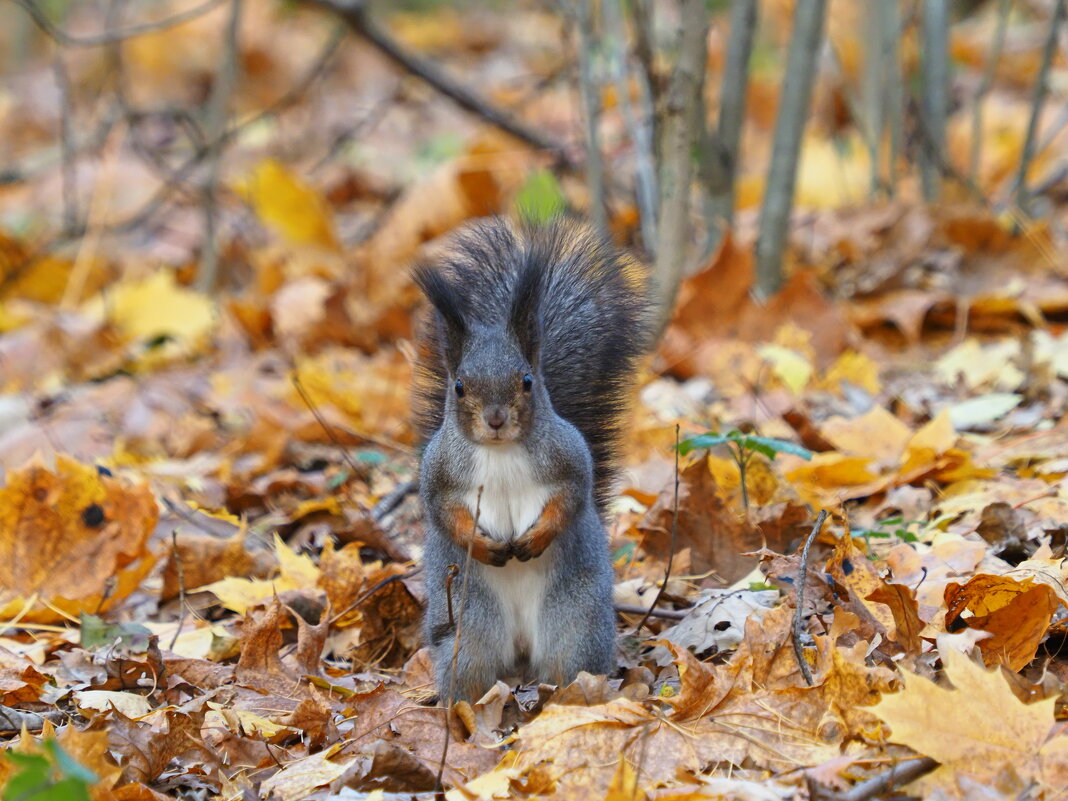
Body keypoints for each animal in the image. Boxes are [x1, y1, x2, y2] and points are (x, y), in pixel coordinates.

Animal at [410, 217, 649, 700]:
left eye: (526, 381)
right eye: (459, 386)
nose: (496, 419)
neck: (500, 451)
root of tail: (520, 654)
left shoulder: (570, 458)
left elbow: (571, 498)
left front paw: (535, 540)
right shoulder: (437, 473)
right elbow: (444, 513)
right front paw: (482, 544)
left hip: (573, 627)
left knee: (568, 667)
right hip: (471, 631)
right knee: (471, 674)